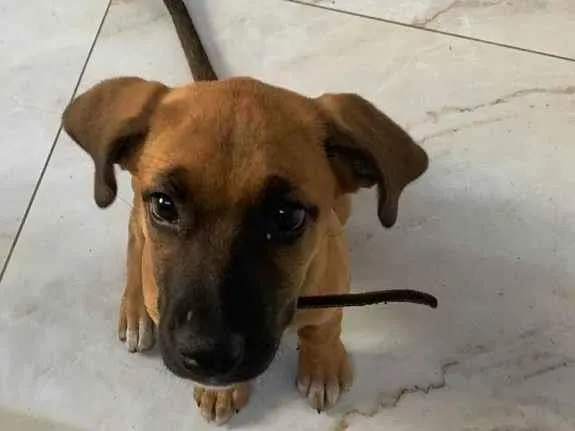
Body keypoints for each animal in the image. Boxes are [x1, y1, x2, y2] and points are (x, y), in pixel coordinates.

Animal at [62, 76, 428, 424]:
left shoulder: (333, 283)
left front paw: (321, 365)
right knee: (136, 240)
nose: (208, 355)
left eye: (288, 215)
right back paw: (136, 309)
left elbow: (324, 326)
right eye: (164, 206)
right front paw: (221, 391)